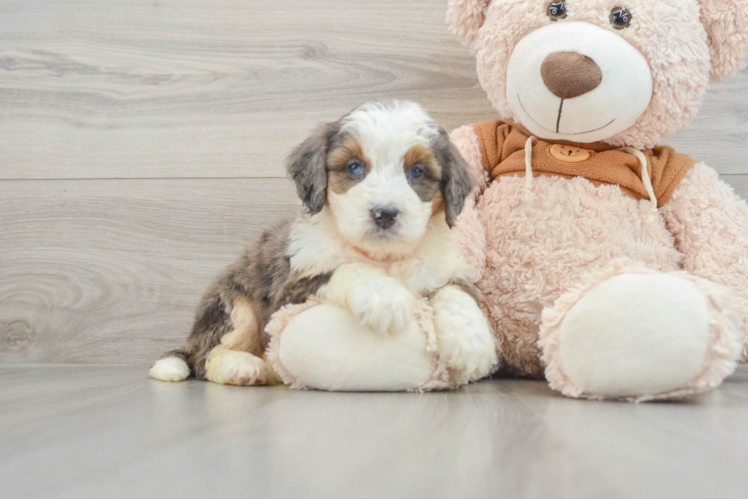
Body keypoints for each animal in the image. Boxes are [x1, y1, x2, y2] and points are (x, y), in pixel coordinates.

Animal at [150, 101, 496, 388]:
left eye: (417, 171)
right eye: (354, 167)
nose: (384, 213)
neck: (383, 257)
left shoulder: (442, 269)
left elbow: (455, 292)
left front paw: (473, 341)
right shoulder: (292, 288)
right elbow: (346, 267)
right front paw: (384, 296)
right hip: (233, 302)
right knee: (206, 356)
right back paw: (242, 367)